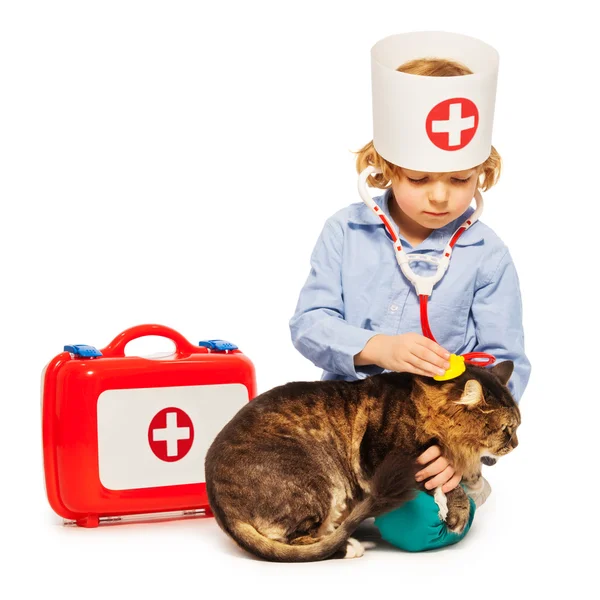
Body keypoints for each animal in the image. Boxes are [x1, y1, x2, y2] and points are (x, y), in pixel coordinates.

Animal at [205, 360, 520, 564]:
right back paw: (349, 545)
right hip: (315, 479)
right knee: (300, 543)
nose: (516, 445)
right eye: (507, 428)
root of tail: (220, 504)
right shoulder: (380, 458)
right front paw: (457, 511)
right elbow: (448, 487)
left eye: (517, 426)